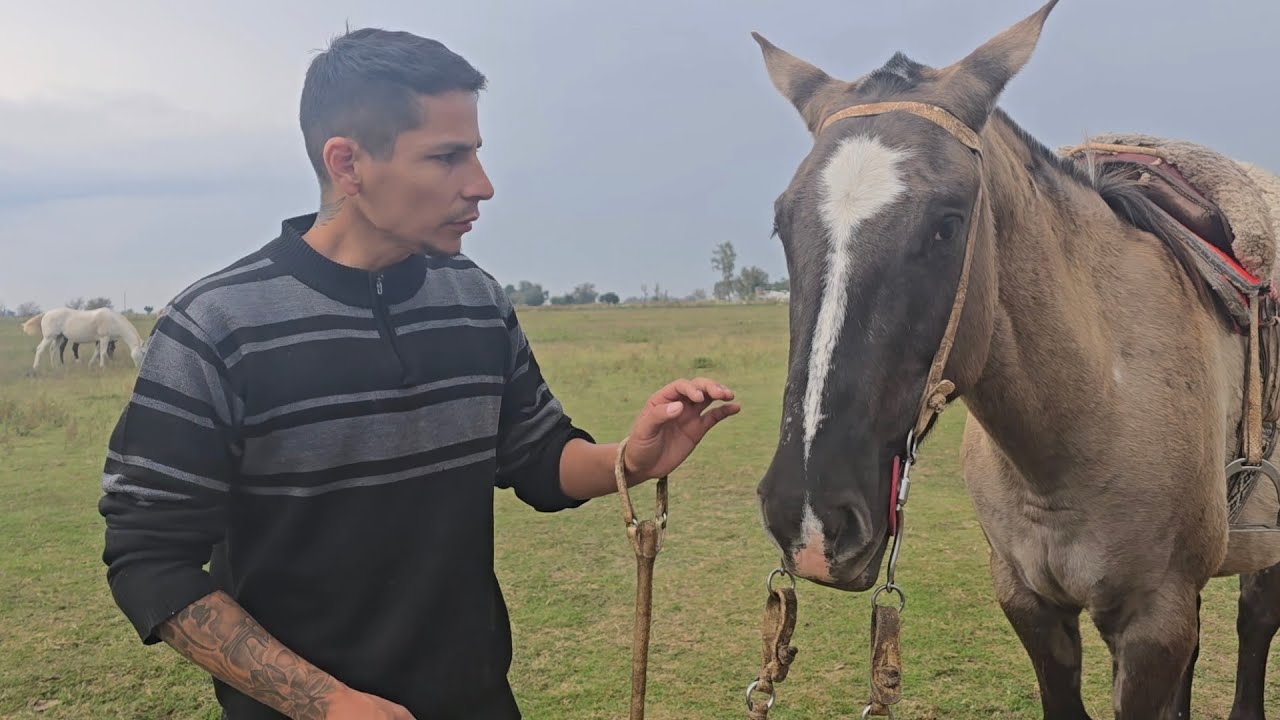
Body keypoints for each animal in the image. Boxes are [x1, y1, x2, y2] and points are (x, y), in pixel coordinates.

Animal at [750, 2, 1280, 717]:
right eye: (783, 224)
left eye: (947, 223)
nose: (808, 519)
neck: (1090, 415)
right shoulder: (1032, 607)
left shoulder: (1152, 625)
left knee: (1256, 620)